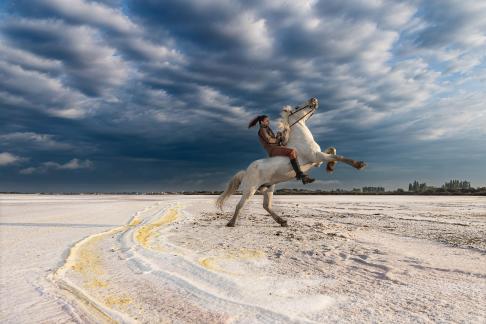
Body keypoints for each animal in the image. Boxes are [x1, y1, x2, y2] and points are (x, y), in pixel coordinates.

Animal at [216, 97, 364, 227]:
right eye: (297, 107)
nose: (314, 99)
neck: (301, 139)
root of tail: (246, 171)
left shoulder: (317, 160)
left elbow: (333, 151)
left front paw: (330, 168)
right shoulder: (316, 157)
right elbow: (339, 157)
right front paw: (359, 165)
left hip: (269, 188)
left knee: (266, 206)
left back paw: (282, 221)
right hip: (250, 189)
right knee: (240, 205)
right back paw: (231, 223)